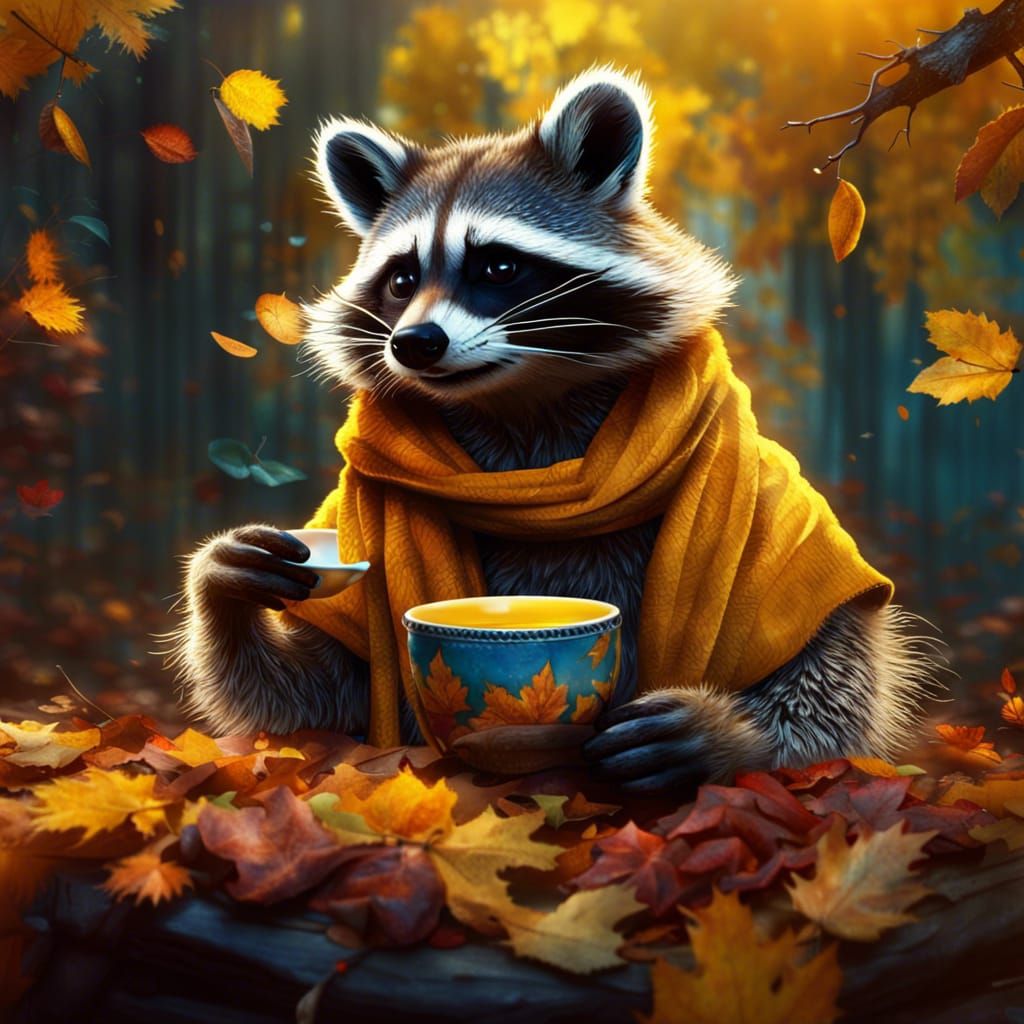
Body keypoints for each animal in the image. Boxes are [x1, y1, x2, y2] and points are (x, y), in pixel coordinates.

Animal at [169, 68, 939, 792]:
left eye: (498, 265)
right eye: (401, 278)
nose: (413, 343)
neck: (525, 409)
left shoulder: (779, 506)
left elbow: (834, 677)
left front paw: (729, 733)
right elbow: (316, 700)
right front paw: (223, 581)